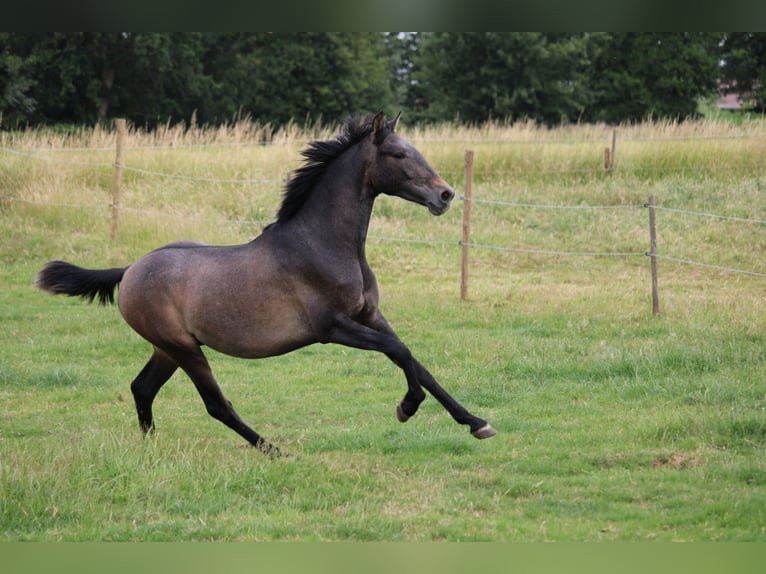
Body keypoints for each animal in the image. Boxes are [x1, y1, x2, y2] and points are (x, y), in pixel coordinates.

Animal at [35, 112, 496, 456]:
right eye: (398, 153)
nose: (445, 195)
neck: (324, 244)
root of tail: (130, 269)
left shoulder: (370, 316)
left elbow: (416, 361)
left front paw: (476, 422)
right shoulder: (333, 328)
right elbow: (399, 353)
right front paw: (406, 407)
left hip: (168, 348)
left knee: (142, 388)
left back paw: (151, 447)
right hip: (184, 349)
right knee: (215, 404)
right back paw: (275, 450)